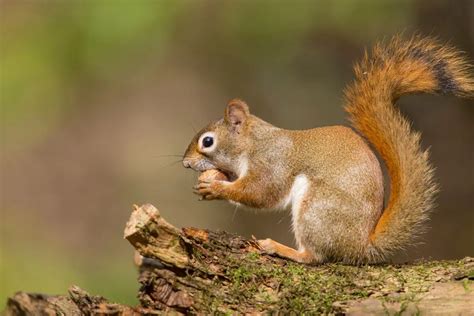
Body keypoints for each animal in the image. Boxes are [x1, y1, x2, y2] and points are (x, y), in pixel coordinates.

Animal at [182, 35, 474, 264]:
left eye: (207, 141)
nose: (185, 163)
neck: (254, 143)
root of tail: (361, 246)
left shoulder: (272, 163)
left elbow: (260, 193)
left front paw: (215, 188)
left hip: (316, 209)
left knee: (314, 256)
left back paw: (280, 248)